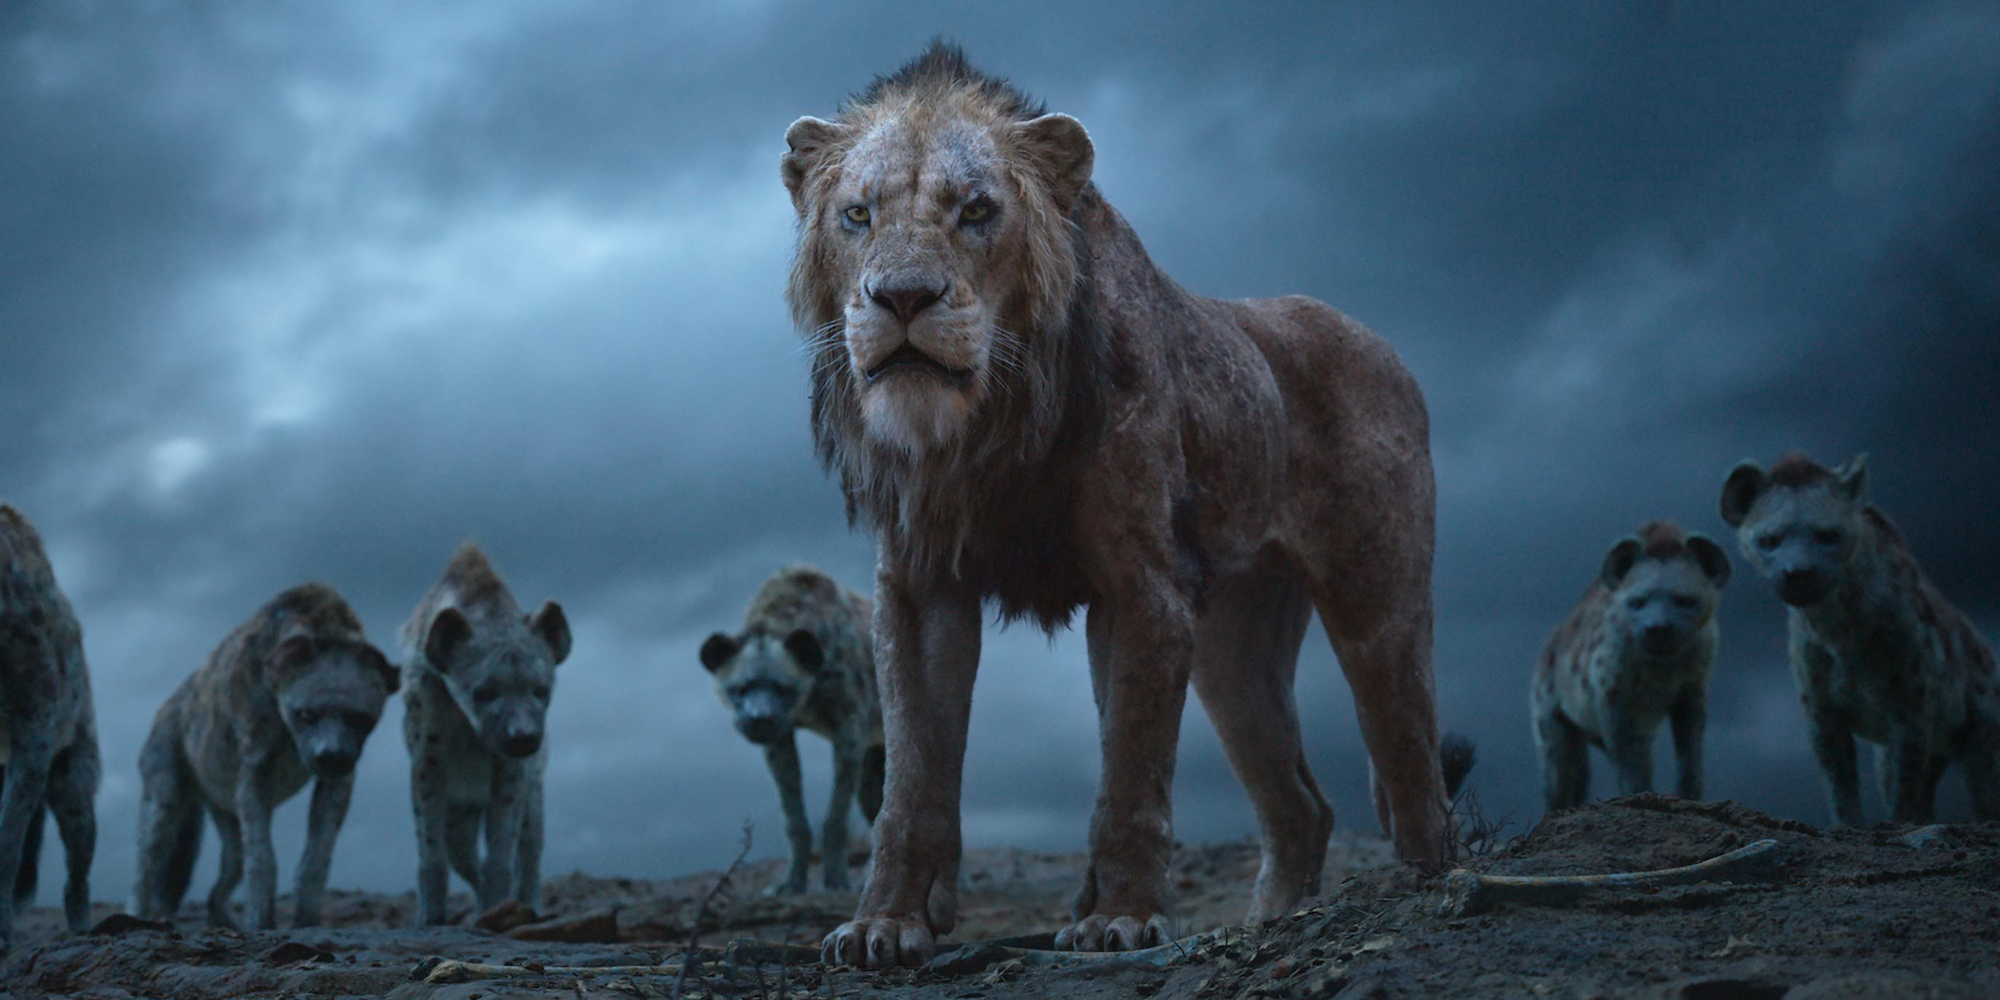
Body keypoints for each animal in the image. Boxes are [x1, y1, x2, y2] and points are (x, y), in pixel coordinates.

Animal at [783, 43, 1454, 968]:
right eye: (856, 214)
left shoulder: (1142, 583)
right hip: (1232, 649)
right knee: (1301, 805)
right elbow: (912, 776)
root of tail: (1388, 349)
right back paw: (1272, 922)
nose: (903, 298)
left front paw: (1123, 918)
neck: (988, 425)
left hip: (1375, 602)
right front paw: (886, 923)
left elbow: (1131, 765)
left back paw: (1427, 886)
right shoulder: (918, 589)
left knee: (1411, 756)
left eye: (977, 210)